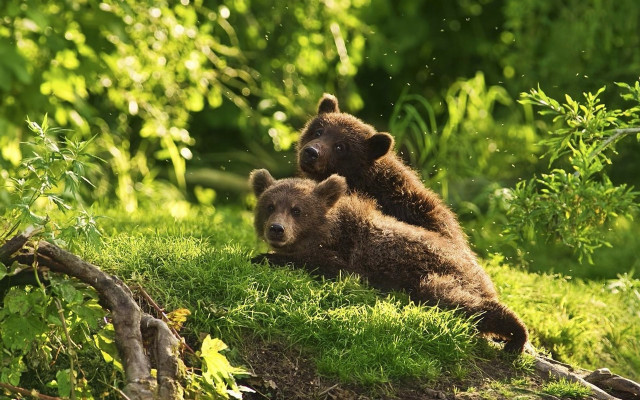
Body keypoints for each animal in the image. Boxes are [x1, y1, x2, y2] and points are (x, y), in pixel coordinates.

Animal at [249, 169, 529, 353]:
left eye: (297, 210)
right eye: (270, 205)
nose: (276, 229)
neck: (328, 231)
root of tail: (482, 273)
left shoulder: (348, 257)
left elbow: (322, 264)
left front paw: (262, 257)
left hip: (442, 274)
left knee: (456, 299)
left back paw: (516, 334)